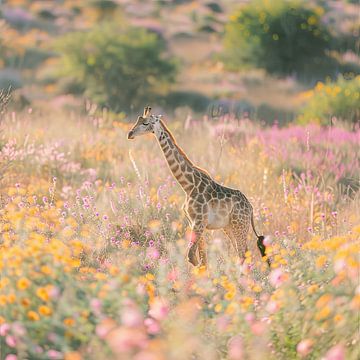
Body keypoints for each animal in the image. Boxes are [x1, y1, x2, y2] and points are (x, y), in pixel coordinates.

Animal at [128, 107, 268, 268]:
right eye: (137, 120)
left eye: (145, 123)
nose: (130, 134)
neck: (188, 185)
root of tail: (251, 208)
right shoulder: (193, 222)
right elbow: (202, 260)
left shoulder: (199, 222)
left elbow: (192, 257)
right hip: (229, 227)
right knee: (243, 254)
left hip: (239, 226)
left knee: (243, 255)